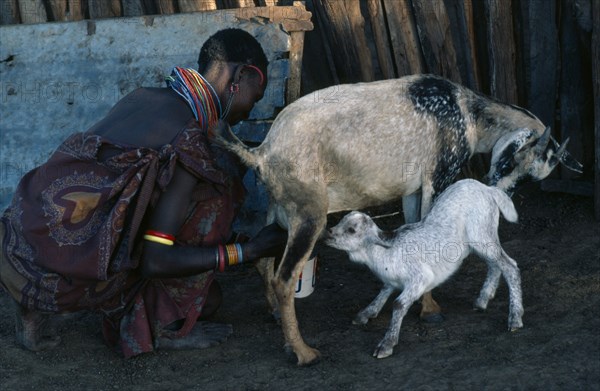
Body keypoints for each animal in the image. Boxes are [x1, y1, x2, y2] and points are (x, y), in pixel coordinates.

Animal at [326, 179, 524, 360]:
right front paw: (366, 313)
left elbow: (398, 304)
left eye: (351, 230)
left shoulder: (420, 277)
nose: (328, 234)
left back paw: (514, 318)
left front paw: (386, 344)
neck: (384, 252)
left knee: (510, 265)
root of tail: (488, 189)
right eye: (341, 221)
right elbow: (384, 291)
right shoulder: (392, 279)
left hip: (481, 234)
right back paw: (482, 300)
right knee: (495, 264)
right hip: (482, 239)